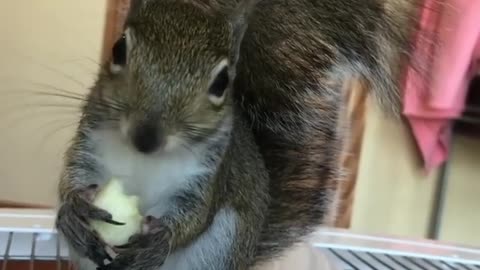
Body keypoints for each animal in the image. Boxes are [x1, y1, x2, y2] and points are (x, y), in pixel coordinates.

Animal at [55, 0, 428, 270]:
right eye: (118, 49)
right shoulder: (90, 142)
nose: (146, 137)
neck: (144, 159)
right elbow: (70, 176)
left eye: (222, 83)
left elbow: (196, 217)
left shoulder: (209, 175)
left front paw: (162, 241)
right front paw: (72, 210)